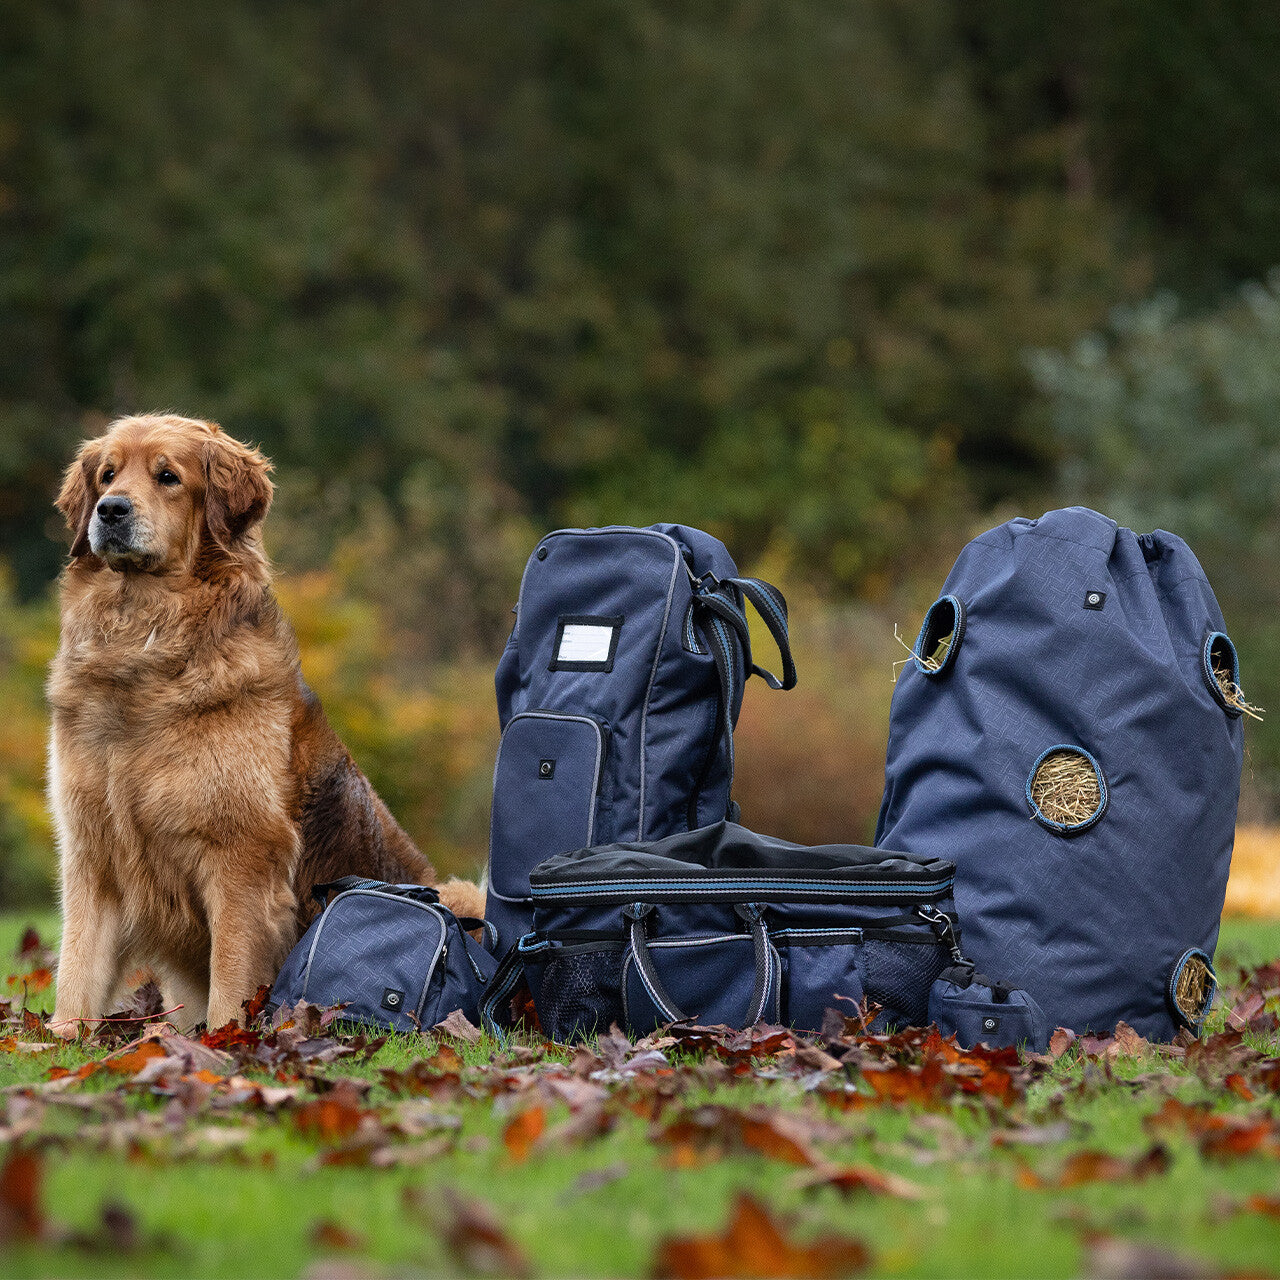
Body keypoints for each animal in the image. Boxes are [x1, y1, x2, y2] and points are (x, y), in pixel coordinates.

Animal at [47, 414, 481, 1034]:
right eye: (107, 475)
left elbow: (231, 976)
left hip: (461, 895)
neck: (145, 641)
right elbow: (78, 971)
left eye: (167, 476)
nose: (110, 509)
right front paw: (59, 1040)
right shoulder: (92, 854)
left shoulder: (242, 858)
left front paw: (224, 1041)